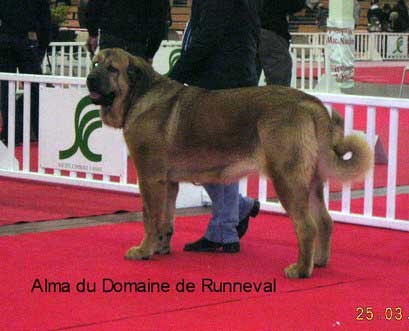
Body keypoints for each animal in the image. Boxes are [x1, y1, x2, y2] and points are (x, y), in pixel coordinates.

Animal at [87, 48, 372, 278]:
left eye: (112, 69)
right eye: (95, 63)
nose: (90, 78)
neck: (138, 95)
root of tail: (309, 102)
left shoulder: (149, 177)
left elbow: (150, 217)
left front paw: (143, 250)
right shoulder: (169, 182)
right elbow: (166, 221)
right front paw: (160, 248)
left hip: (287, 179)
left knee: (307, 226)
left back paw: (300, 269)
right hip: (311, 182)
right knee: (325, 221)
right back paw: (320, 261)